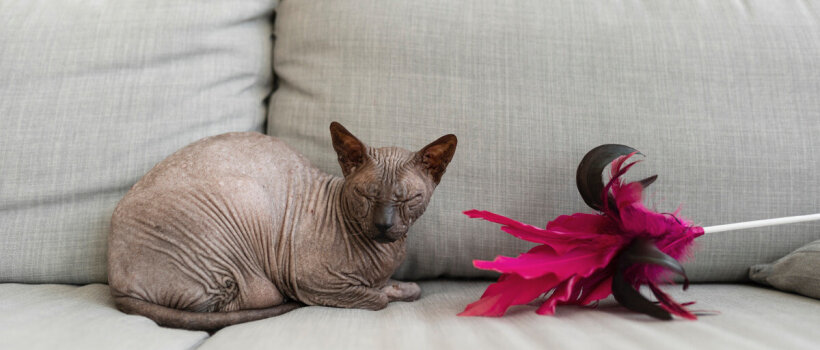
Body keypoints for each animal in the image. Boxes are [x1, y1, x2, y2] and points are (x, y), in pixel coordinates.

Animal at [105, 122, 458, 330]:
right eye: (366, 195)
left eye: (409, 199)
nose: (384, 225)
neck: (384, 255)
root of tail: (115, 283)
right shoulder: (311, 282)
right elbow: (376, 298)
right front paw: (388, 290)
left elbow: (408, 288)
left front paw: (399, 287)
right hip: (246, 205)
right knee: (246, 300)